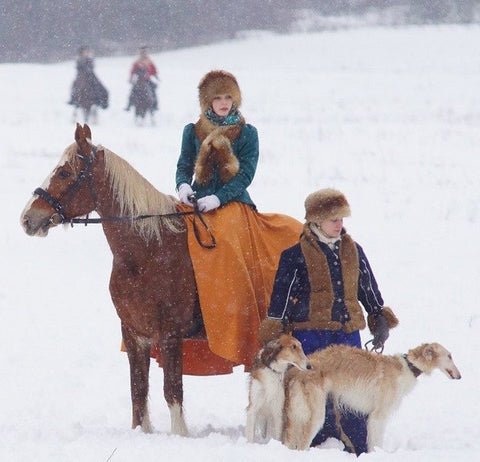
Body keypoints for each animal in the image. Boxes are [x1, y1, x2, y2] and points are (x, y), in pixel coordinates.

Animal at [20, 122, 197, 434]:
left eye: (64, 172)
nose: (28, 218)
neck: (149, 249)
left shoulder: (171, 333)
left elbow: (172, 391)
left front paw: (180, 435)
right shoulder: (134, 332)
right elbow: (138, 389)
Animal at [284, 342, 460, 452]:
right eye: (449, 356)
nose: (460, 376)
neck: (408, 367)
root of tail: (297, 370)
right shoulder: (378, 417)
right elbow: (376, 444)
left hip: (297, 416)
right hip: (315, 416)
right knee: (302, 446)